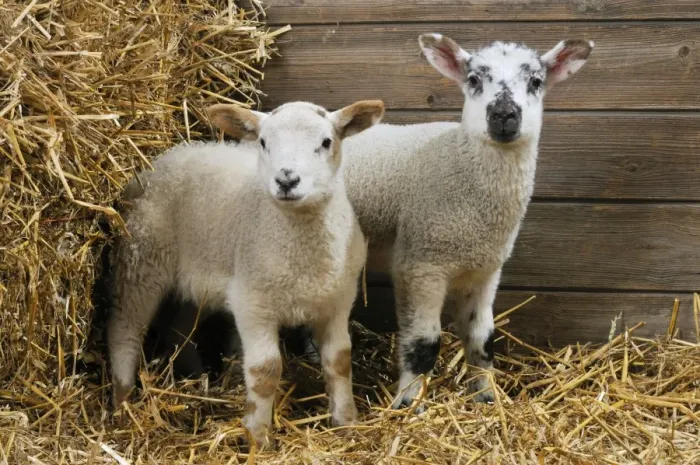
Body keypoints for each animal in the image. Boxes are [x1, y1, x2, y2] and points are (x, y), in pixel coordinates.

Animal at [106, 99, 385, 444]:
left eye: (326, 142)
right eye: (263, 142)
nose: (286, 180)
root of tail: (164, 158)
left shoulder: (336, 303)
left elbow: (340, 362)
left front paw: (347, 422)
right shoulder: (253, 304)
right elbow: (265, 370)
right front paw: (258, 435)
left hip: (197, 280)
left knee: (179, 330)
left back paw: (199, 379)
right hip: (141, 259)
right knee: (124, 330)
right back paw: (122, 405)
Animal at [332, 33, 594, 408]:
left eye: (535, 81)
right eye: (473, 80)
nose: (503, 115)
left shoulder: (484, 270)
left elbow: (482, 338)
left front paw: (486, 397)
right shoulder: (420, 263)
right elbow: (424, 343)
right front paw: (408, 405)